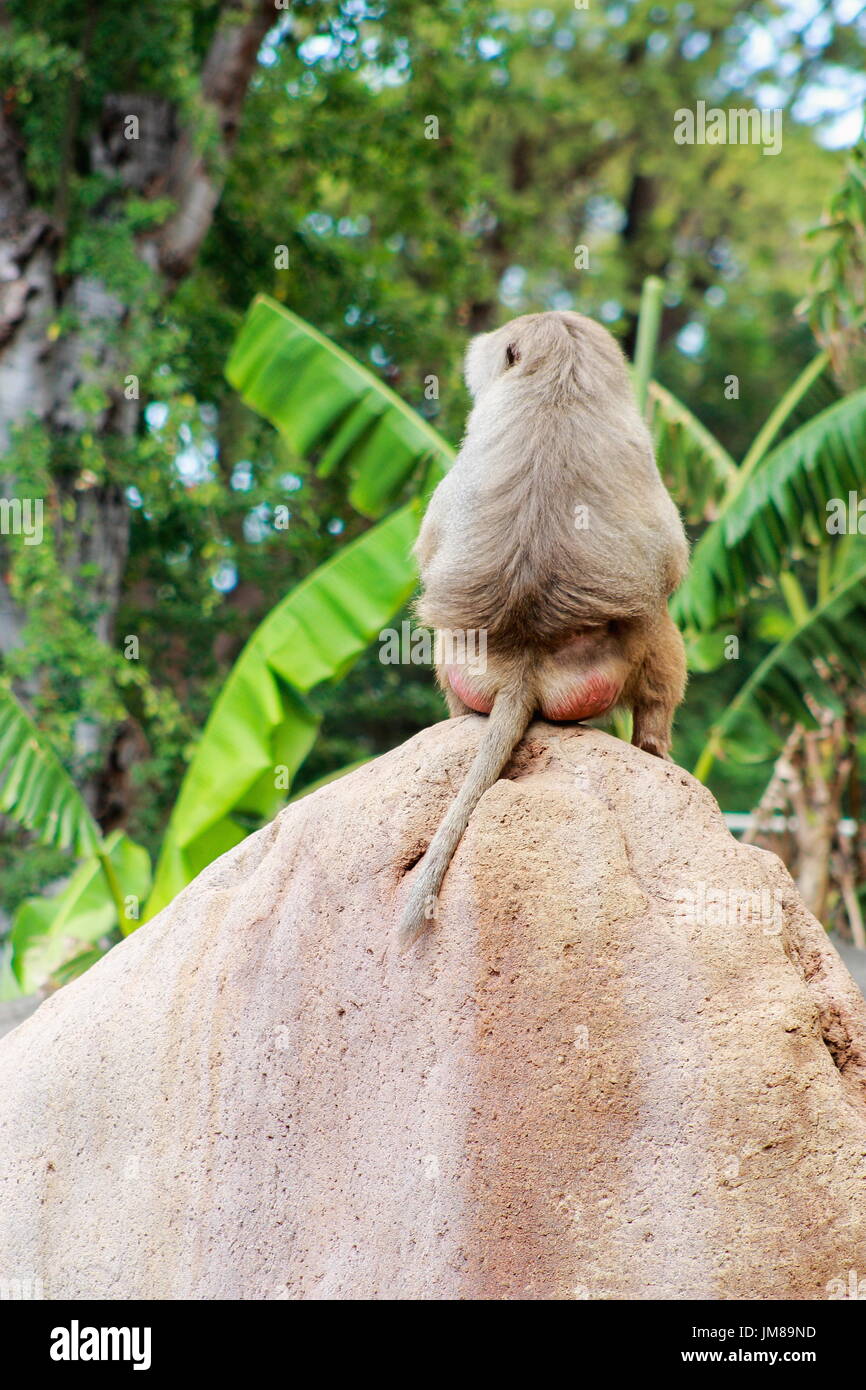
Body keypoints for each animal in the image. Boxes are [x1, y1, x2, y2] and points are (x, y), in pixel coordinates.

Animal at [398, 309, 689, 949]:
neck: (557, 380)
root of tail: (525, 659)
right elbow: (670, 562)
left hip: (466, 662)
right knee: (659, 630)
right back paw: (654, 748)